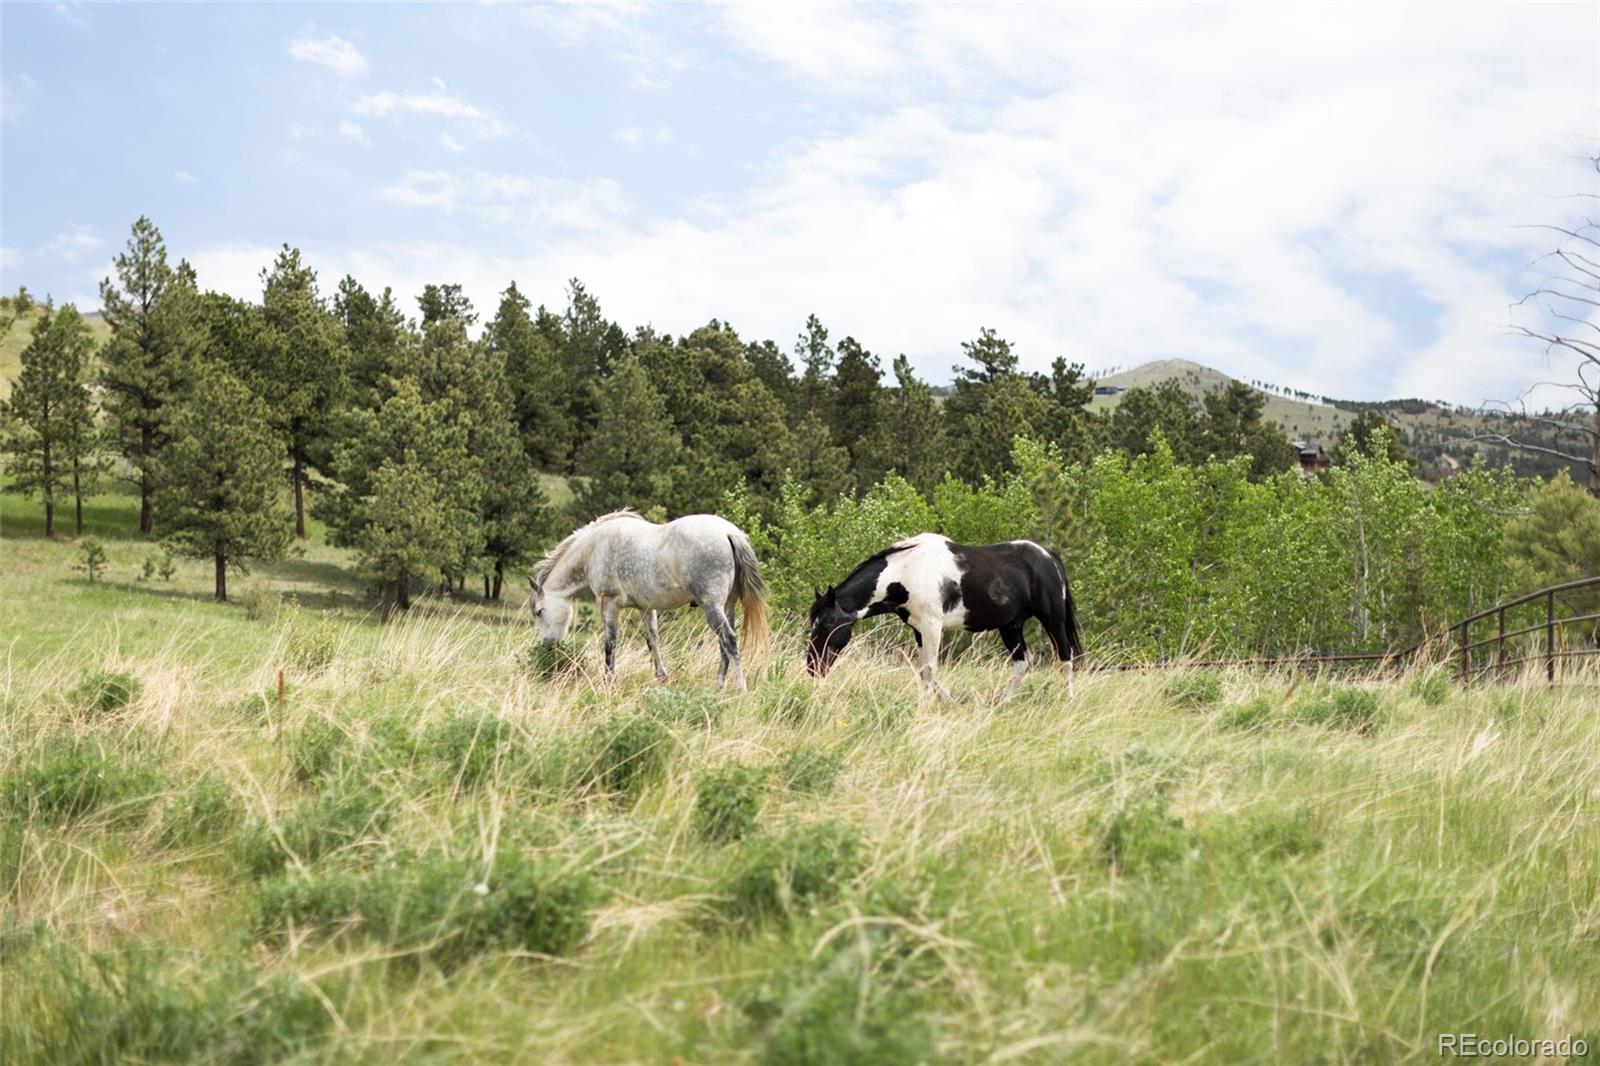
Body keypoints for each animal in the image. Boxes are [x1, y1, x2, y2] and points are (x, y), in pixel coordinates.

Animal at [528, 505, 771, 688]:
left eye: (539, 612)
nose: (547, 645)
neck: (594, 548)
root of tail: (729, 533)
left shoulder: (609, 604)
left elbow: (610, 643)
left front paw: (608, 681)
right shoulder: (645, 607)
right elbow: (653, 641)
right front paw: (662, 678)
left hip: (712, 606)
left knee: (729, 641)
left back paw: (739, 689)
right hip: (727, 605)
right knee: (723, 646)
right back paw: (717, 689)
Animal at [806, 531, 1081, 697]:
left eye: (827, 624)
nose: (813, 667)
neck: (907, 571)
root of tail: (1049, 556)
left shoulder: (932, 627)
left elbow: (929, 670)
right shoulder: (919, 630)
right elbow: (924, 671)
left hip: (1053, 621)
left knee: (1065, 658)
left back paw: (1067, 700)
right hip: (1011, 626)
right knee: (1022, 663)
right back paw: (1002, 703)